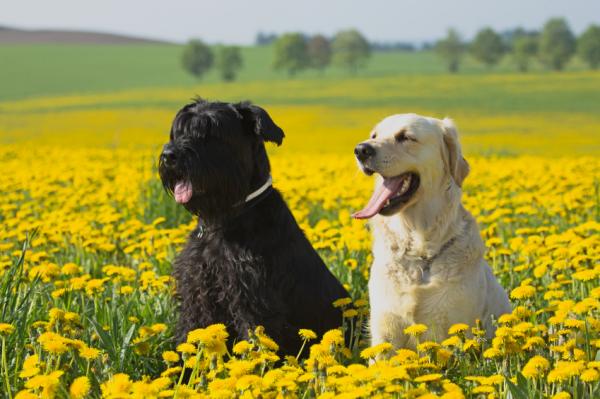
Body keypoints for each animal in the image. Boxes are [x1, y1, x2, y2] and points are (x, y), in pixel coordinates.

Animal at [157, 98, 350, 354]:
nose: (169, 155)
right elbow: (191, 330)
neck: (225, 219)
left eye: (212, 133)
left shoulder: (253, 299)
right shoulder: (197, 292)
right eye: (179, 131)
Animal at [352, 114, 510, 352]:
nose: (361, 149)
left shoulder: (452, 329)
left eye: (405, 137)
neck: (420, 253)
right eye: (374, 135)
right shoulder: (385, 329)